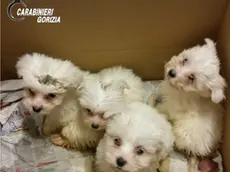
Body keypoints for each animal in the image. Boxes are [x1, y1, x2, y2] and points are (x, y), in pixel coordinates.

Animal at [156, 38, 226, 172]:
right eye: (185, 60)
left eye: (191, 78)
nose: (171, 73)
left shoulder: (171, 106)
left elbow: (162, 109)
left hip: (182, 132)